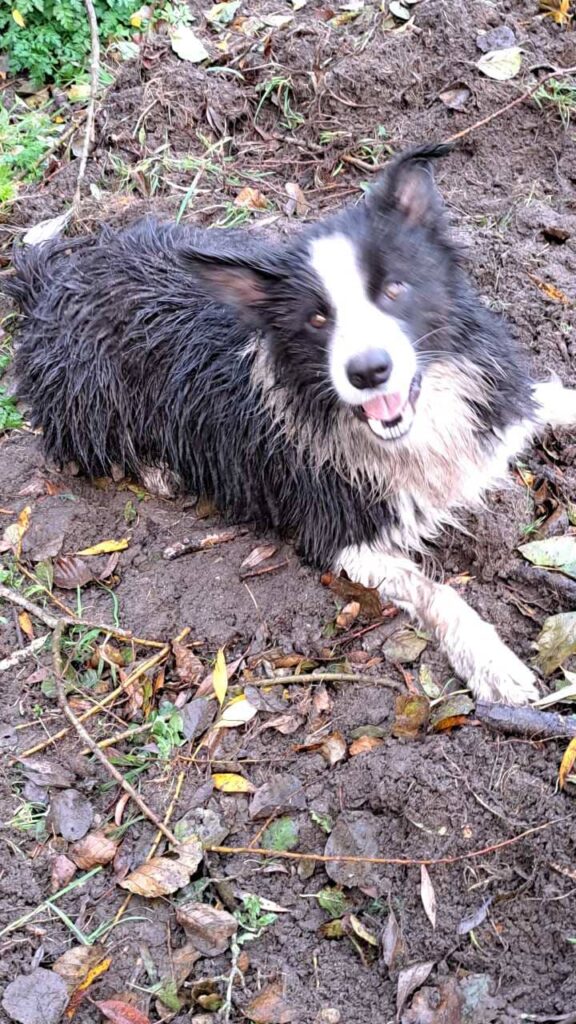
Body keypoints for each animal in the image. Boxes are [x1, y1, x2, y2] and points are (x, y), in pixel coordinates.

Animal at [5, 144, 573, 704]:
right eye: (317, 319)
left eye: (394, 289)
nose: (369, 371)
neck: (416, 429)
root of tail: (51, 284)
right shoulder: (339, 533)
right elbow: (436, 589)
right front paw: (491, 661)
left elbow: (552, 398)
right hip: (90, 394)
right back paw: (158, 472)